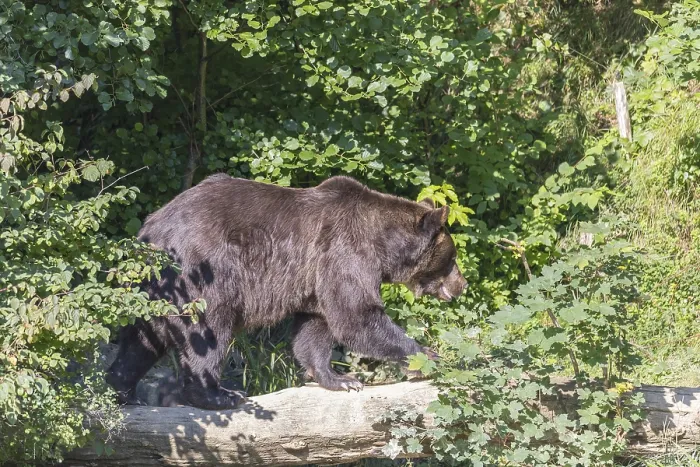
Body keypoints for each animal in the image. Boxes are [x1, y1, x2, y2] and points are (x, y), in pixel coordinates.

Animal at [106, 175, 467, 410]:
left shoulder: (316, 278)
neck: (382, 244)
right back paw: (220, 396)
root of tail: (150, 230)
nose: (460, 285)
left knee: (140, 341)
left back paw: (123, 391)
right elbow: (357, 315)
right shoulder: (346, 251)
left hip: (149, 289)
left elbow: (316, 326)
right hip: (201, 271)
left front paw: (338, 378)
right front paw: (428, 357)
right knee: (208, 330)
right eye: (452, 258)